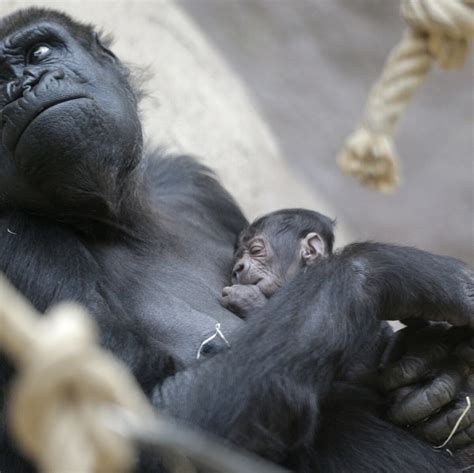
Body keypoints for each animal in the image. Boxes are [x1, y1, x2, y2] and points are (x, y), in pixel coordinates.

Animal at [0, 8, 472, 472]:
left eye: (39, 51)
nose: (23, 87)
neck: (121, 222)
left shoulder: (191, 183)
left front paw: (439, 378)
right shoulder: (16, 244)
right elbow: (146, 424)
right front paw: (395, 270)